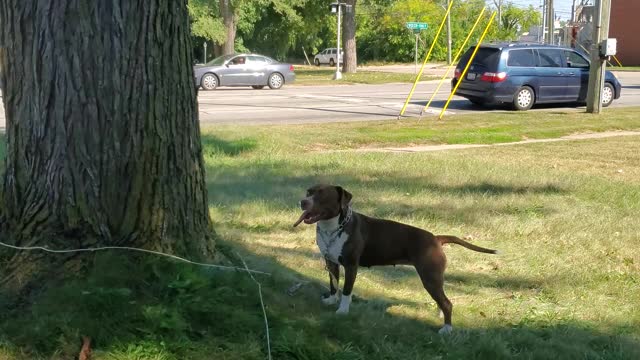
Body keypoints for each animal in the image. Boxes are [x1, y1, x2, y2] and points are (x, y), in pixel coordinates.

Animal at [292, 184, 498, 334]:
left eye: (322, 196)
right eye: (309, 192)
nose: (303, 201)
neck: (334, 228)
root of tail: (436, 238)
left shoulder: (351, 266)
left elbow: (347, 291)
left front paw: (342, 310)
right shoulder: (331, 262)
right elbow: (334, 284)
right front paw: (331, 300)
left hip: (429, 277)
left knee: (447, 302)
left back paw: (447, 329)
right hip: (435, 278)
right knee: (444, 298)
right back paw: (441, 314)